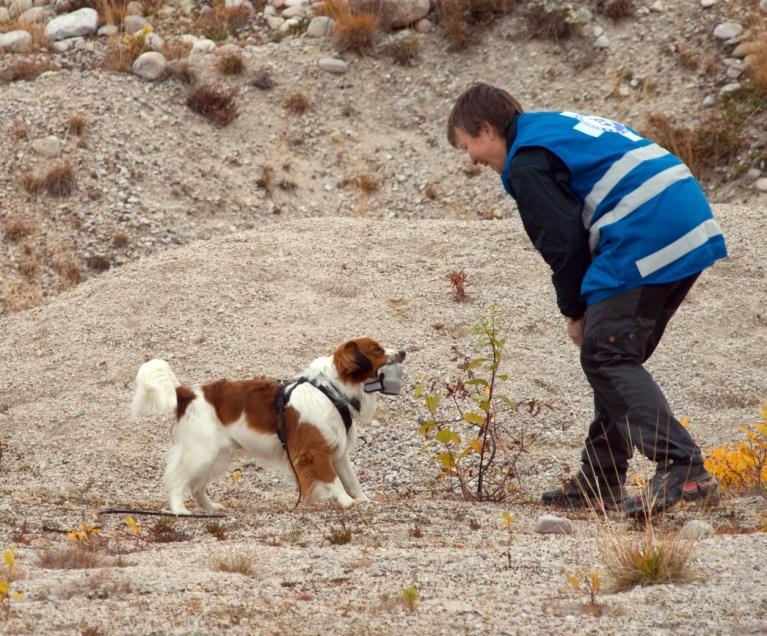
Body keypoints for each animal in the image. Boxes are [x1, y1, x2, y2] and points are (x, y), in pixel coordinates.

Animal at [130, 338, 408, 512]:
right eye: (377, 349)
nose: (404, 352)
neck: (330, 390)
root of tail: (185, 393)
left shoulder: (338, 454)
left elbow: (352, 480)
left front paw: (363, 500)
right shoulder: (314, 452)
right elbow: (334, 481)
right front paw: (346, 502)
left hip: (217, 455)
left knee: (197, 486)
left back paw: (210, 508)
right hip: (202, 452)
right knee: (177, 480)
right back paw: (179, 510)